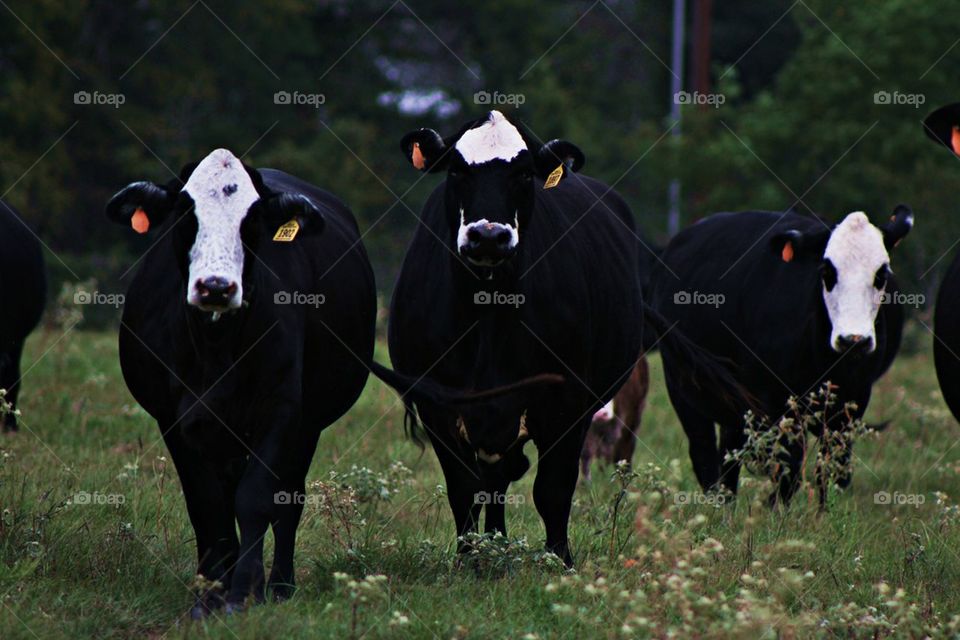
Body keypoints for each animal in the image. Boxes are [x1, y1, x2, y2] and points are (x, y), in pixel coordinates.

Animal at [106, 148, 557, 617]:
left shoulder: (283, 412)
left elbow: (256, 498)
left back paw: (280, 585)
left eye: (253, 222)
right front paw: (209, 596)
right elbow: (206, 505)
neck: (217, 345)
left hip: (305, 428)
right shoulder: (173, 419)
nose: (216, 287)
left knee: (289, 498)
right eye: (184, 215)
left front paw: (243, 593)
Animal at [390, 110, 743, 565]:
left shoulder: (569, 403)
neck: (488, 316)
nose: (488, 235)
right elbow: (464, 489)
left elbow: (552, 489)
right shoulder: (437, 405)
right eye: (455, 169)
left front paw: (559, 560)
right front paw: (469, 559)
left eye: (524, 173)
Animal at [650, 207, 912, 506]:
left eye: (881, 274)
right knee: (704, 452)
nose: (853, 340)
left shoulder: (852, 401)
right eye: (826, 271)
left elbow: (834, 471)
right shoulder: (776, 401)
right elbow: (789, 470)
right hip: (684, 385)